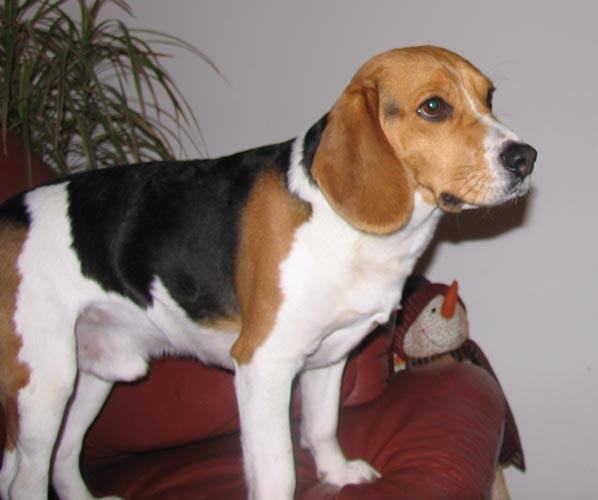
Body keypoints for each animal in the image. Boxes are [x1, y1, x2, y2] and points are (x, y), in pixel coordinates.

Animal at [0, 46, 536, 500]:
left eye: (489, 97)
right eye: (433, 107)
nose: (526, 157)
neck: (342, 226)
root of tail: (10, 212)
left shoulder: (329, 356)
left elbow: (321, 427)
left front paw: (336, 475)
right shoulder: (264, 365)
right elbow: (278, 471)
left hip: (95, 373)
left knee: (64, 458)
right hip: (44, 385)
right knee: (25, 480)